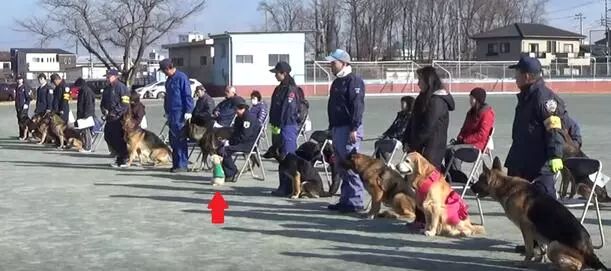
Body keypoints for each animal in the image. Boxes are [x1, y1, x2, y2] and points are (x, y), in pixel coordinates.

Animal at [474, 157, 608, 271]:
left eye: (479, 180)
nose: (471, 186)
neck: (506, 186)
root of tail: (590, 252)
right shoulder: (535, 231)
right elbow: (541, 247)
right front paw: (539, 259)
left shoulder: (526, 227)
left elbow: (529, 249)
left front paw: (525, 263)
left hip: (554, 245)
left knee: (577, 266)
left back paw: (556, 266)